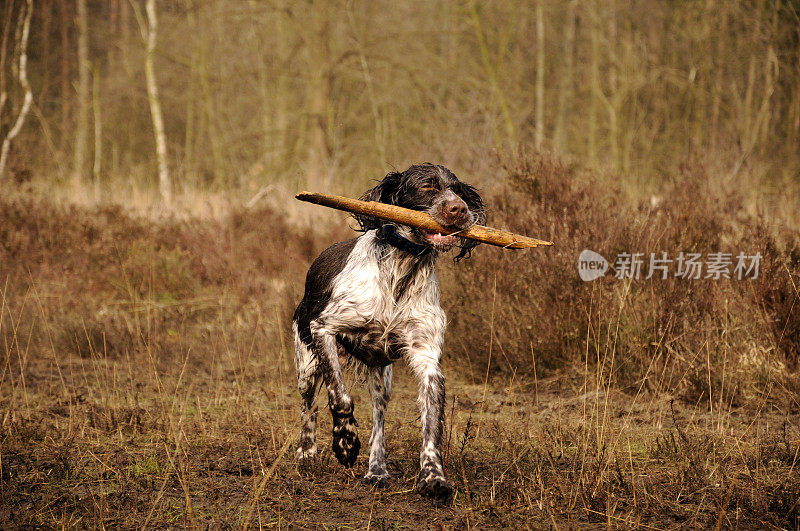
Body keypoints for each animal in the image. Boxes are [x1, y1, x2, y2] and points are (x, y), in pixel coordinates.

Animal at [290, 162, 484, 498]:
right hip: (306, 362)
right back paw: (307, 453)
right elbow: (339, 396)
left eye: (459, 190)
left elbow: (432, 423)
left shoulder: (426, 356)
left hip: (383, 376)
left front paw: (433, 477)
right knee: (309, 405)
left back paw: (377, 470)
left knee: (379, 419)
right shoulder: (323, 328)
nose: (459, 209)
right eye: (428, 186)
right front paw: (345, 443)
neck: (401, 272)